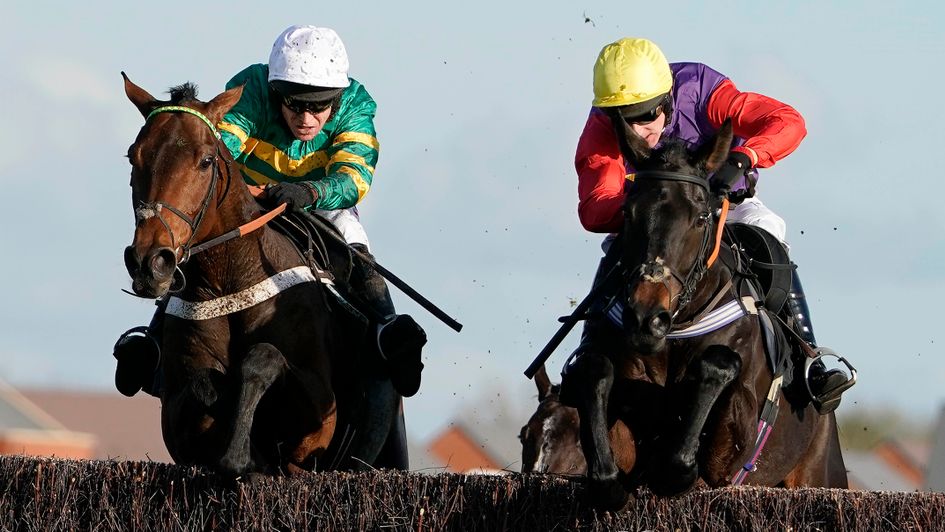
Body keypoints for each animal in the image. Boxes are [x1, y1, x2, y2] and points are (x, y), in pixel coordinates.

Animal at [121, 75, 402, 478]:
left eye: (206, 161)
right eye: (134, 156)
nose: (150, 262)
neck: (230, 280)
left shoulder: (318, 418)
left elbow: (263, 358)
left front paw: (240, 453)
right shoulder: (175, 415)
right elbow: (202, 384)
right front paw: (241, 447)